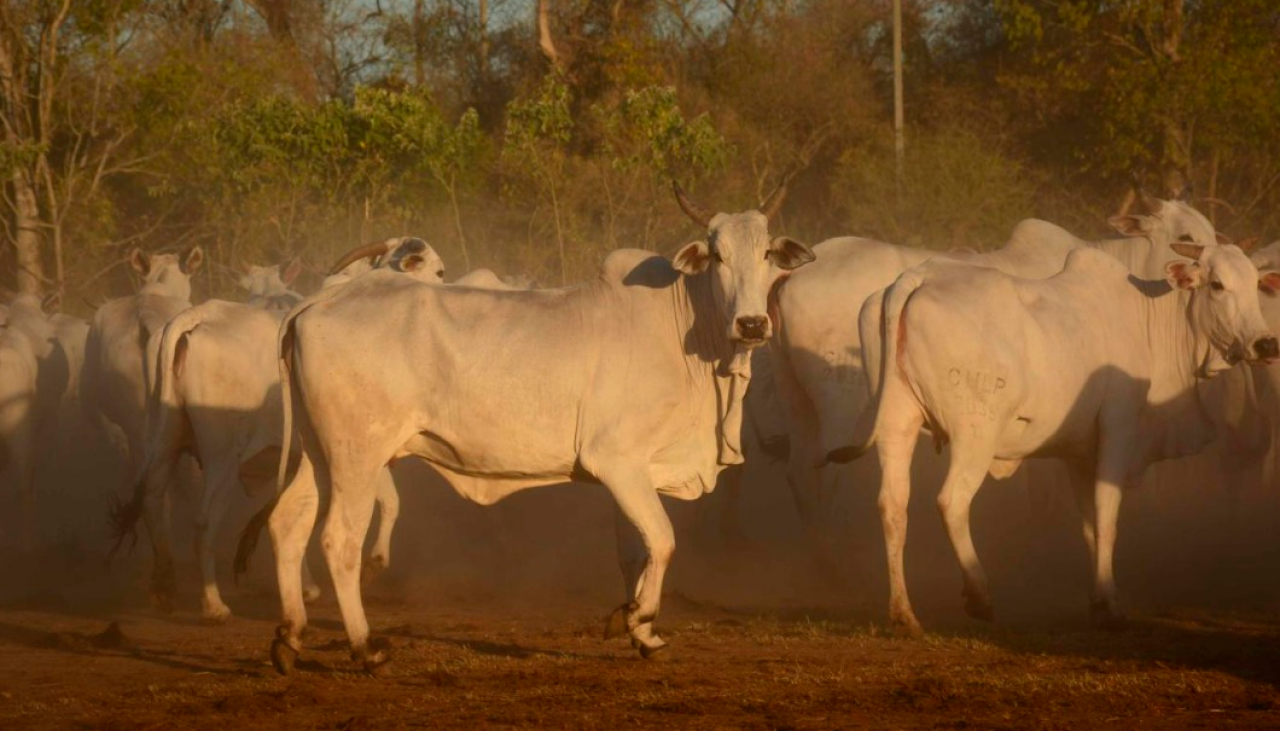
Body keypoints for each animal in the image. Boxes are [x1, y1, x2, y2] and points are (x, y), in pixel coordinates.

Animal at [115, 239, 445, 617]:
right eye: (439, 271)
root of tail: (197, 317)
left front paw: (307, 587)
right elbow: (390, 502)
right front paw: (372, 564)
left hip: (165, 436)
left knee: (153, 499)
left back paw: (164, 586)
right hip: (221, 456)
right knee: (204, 522)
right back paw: (213, 604)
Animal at [263, 184, 814, 675]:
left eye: (767, 253)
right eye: (718, 256)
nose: (751, 324)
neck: (686, 329)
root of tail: (317, 303)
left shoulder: (631, 474)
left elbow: (634, 551)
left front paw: (639, 629)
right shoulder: (616, 462)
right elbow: (662, 540)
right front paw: (639, 618)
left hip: (321, 453)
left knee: (288, 522)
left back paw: (290, 637)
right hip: (357, 456)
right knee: (339, 540)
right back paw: (364, 648)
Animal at [844, 244, 1274, 634]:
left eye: (1255, 285)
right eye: (1217, 285)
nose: (1266, 344)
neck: (1151, 323)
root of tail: (917, 277)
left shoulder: (1079, 453)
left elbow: (1089, 526)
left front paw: (1098, 600)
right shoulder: (1119, 430)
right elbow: (1107, 518)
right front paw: (1110, 606)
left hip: (897, 425)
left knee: (892, 505)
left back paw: (904, 612)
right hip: (975, 435)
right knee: (952, 502)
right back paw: (979, 594)